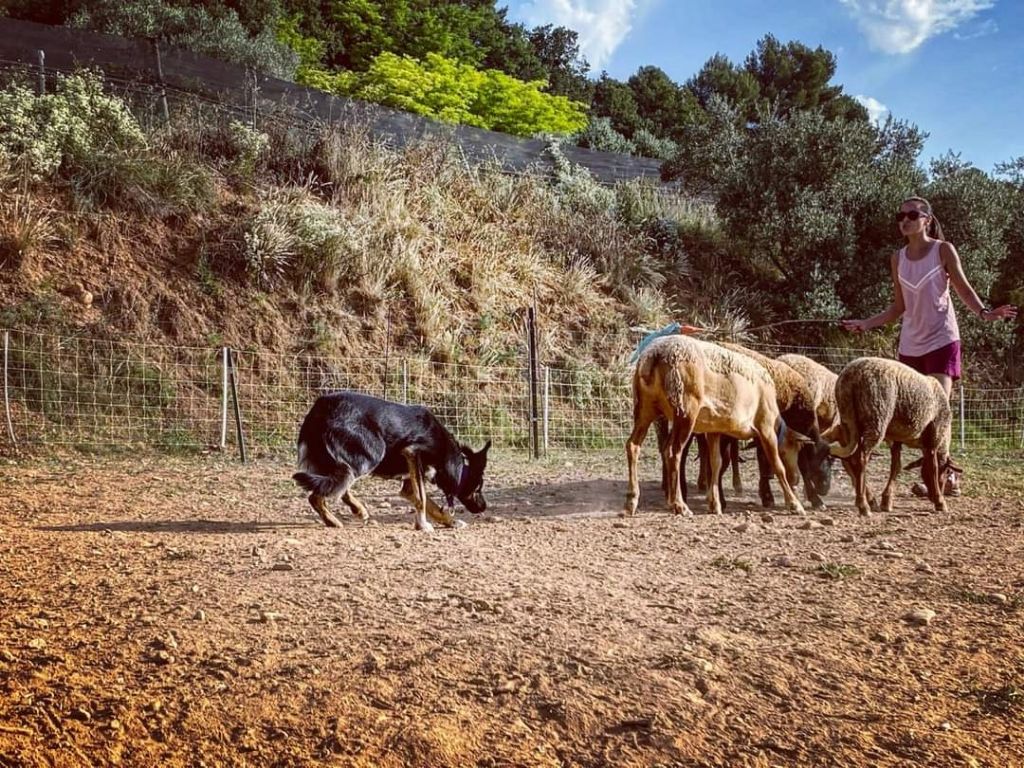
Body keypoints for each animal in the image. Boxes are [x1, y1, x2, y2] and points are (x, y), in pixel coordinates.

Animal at [294, 393, 489, 532]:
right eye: (478, 488)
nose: (484, 507)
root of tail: (320, 407)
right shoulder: (412, 453)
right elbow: (422, 499)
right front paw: (423, 525)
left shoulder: (410, 480)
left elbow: (431, 505)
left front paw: (450, 521)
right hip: (370, 454)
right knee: (319, 494)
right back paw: (334, 520)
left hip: (341, 463)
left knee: (333, 489)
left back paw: (355, 511)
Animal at [618, 335, 802, 518]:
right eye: (791, 449)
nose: (796, 479)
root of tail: (653, 355)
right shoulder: (765, 425)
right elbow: (778, 465)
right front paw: (794, 504)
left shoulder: (713, 429)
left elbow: (715, 463)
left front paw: (715, 504)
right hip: (685, 408)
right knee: (672, 452)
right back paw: (679, 505)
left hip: (645, 406)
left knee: (634, 445)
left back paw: (631, 502)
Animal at [823, 360, 958, 518]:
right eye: (947, 471)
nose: (933, 496)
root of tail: (851, 376)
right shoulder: (933, 437)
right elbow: (933, 468)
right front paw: (940, 502)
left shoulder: (896, 439)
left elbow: (896, 466)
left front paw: (887, 501)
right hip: (877, 418)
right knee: (860, 458)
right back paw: (863, 505)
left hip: (848, 420)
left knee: (850, 458)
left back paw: (869, 500)